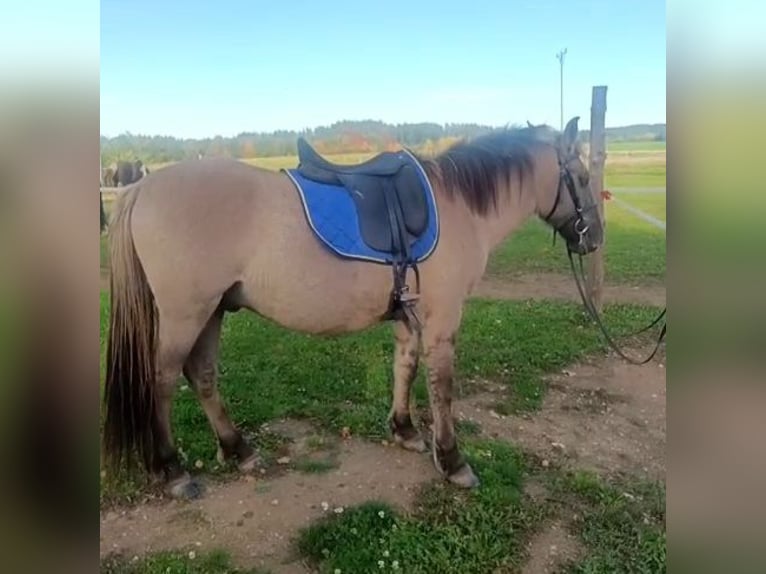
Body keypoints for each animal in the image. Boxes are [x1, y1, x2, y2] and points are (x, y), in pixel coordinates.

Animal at [102, 117, 602, 499]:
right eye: (579, 177)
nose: (594, 238)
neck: (459, 205)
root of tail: (142, 188)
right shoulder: (442, 320)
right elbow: (442, 388)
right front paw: (452, 460)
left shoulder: (409, 318)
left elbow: (405, 367)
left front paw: (404, 430)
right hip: (186, 314)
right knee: (162, 381)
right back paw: (172, 469)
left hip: (214, 310)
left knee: (202, 375)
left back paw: (237, 449)